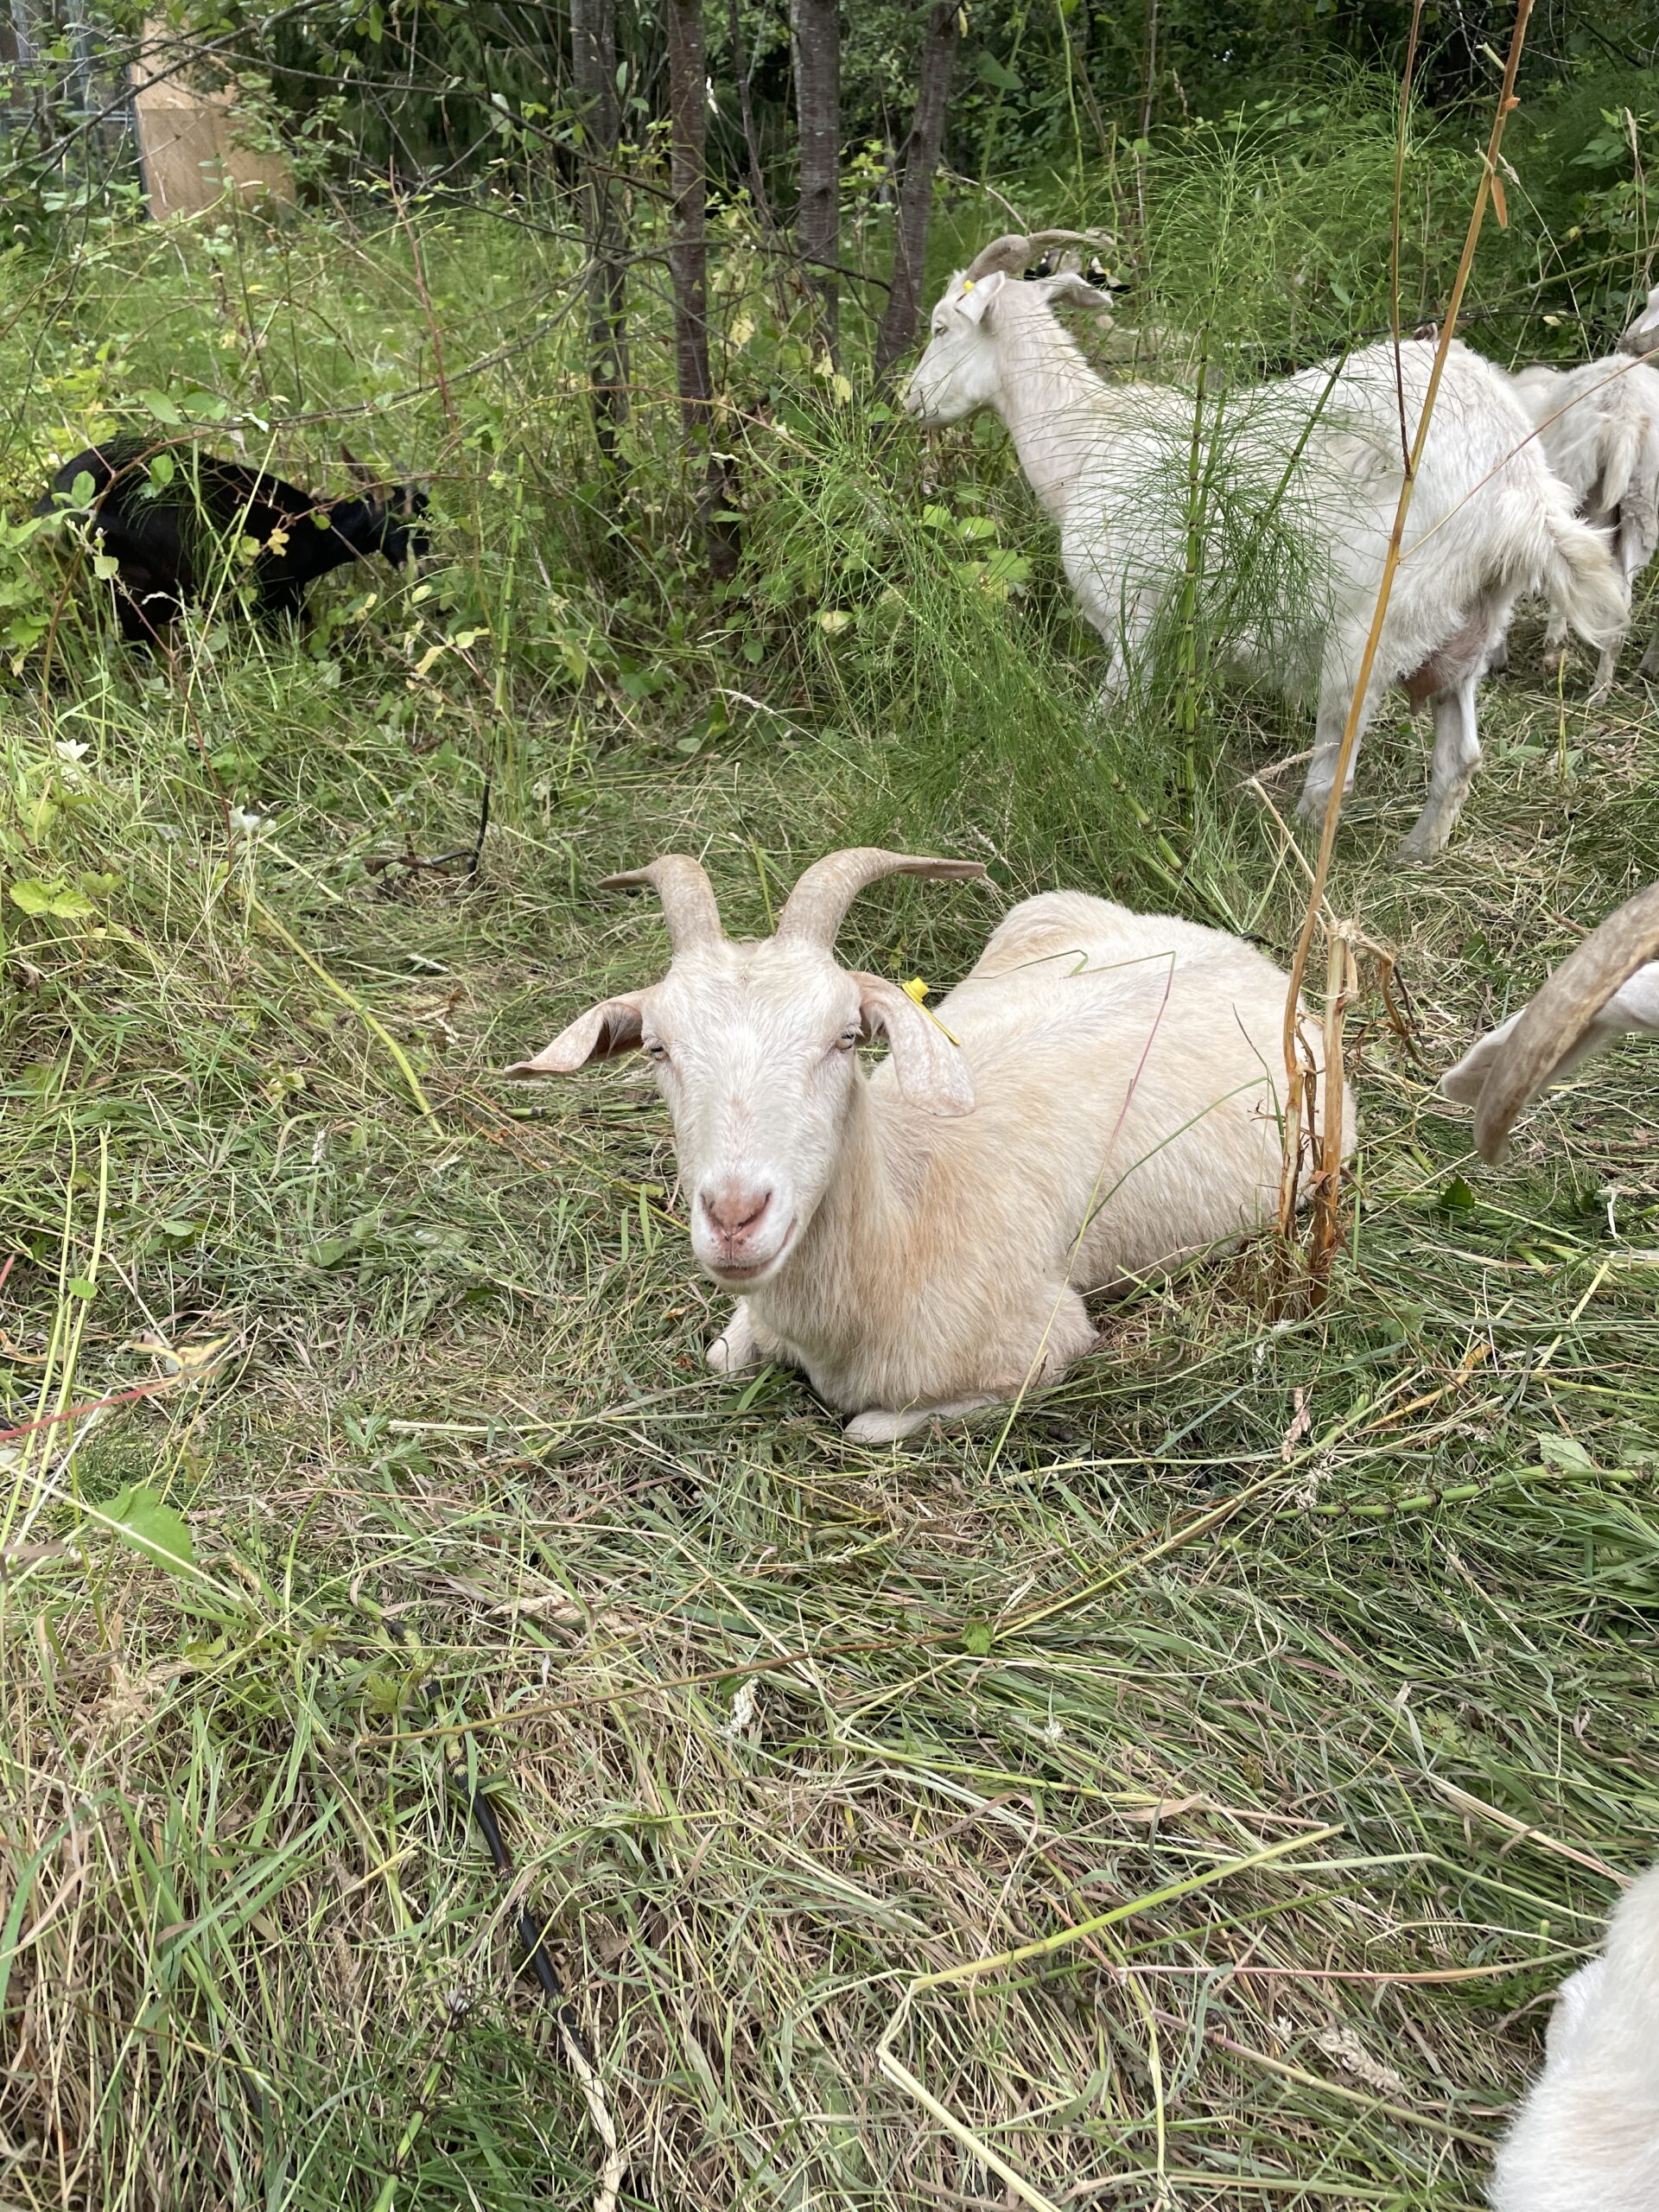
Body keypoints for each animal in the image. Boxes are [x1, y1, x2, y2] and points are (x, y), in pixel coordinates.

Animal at [38, 435, 429, 642]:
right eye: (398, 521)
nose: (420, 570)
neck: (311, 529)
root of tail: (50, 504)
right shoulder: (276, 594)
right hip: (129, 579)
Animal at [506, 848, 1348, 1442]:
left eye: (846, 1038)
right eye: (657, 1048)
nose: (736, 1217)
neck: (904, 1228)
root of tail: (1247, 953)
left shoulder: (1045, 1347)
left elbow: (868, 1428)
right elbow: (720, 1358)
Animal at [904, 232, 1627, 861]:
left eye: (940, 326)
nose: (908, 400)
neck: (1087, 442)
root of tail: (1524, 494)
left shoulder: (1132, 615)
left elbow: (1111, 721)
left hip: (1374, 627)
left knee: (1338, 763)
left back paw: (1296, 848)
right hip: (1469, 628)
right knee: (1460, 758)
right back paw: (1414, 856)